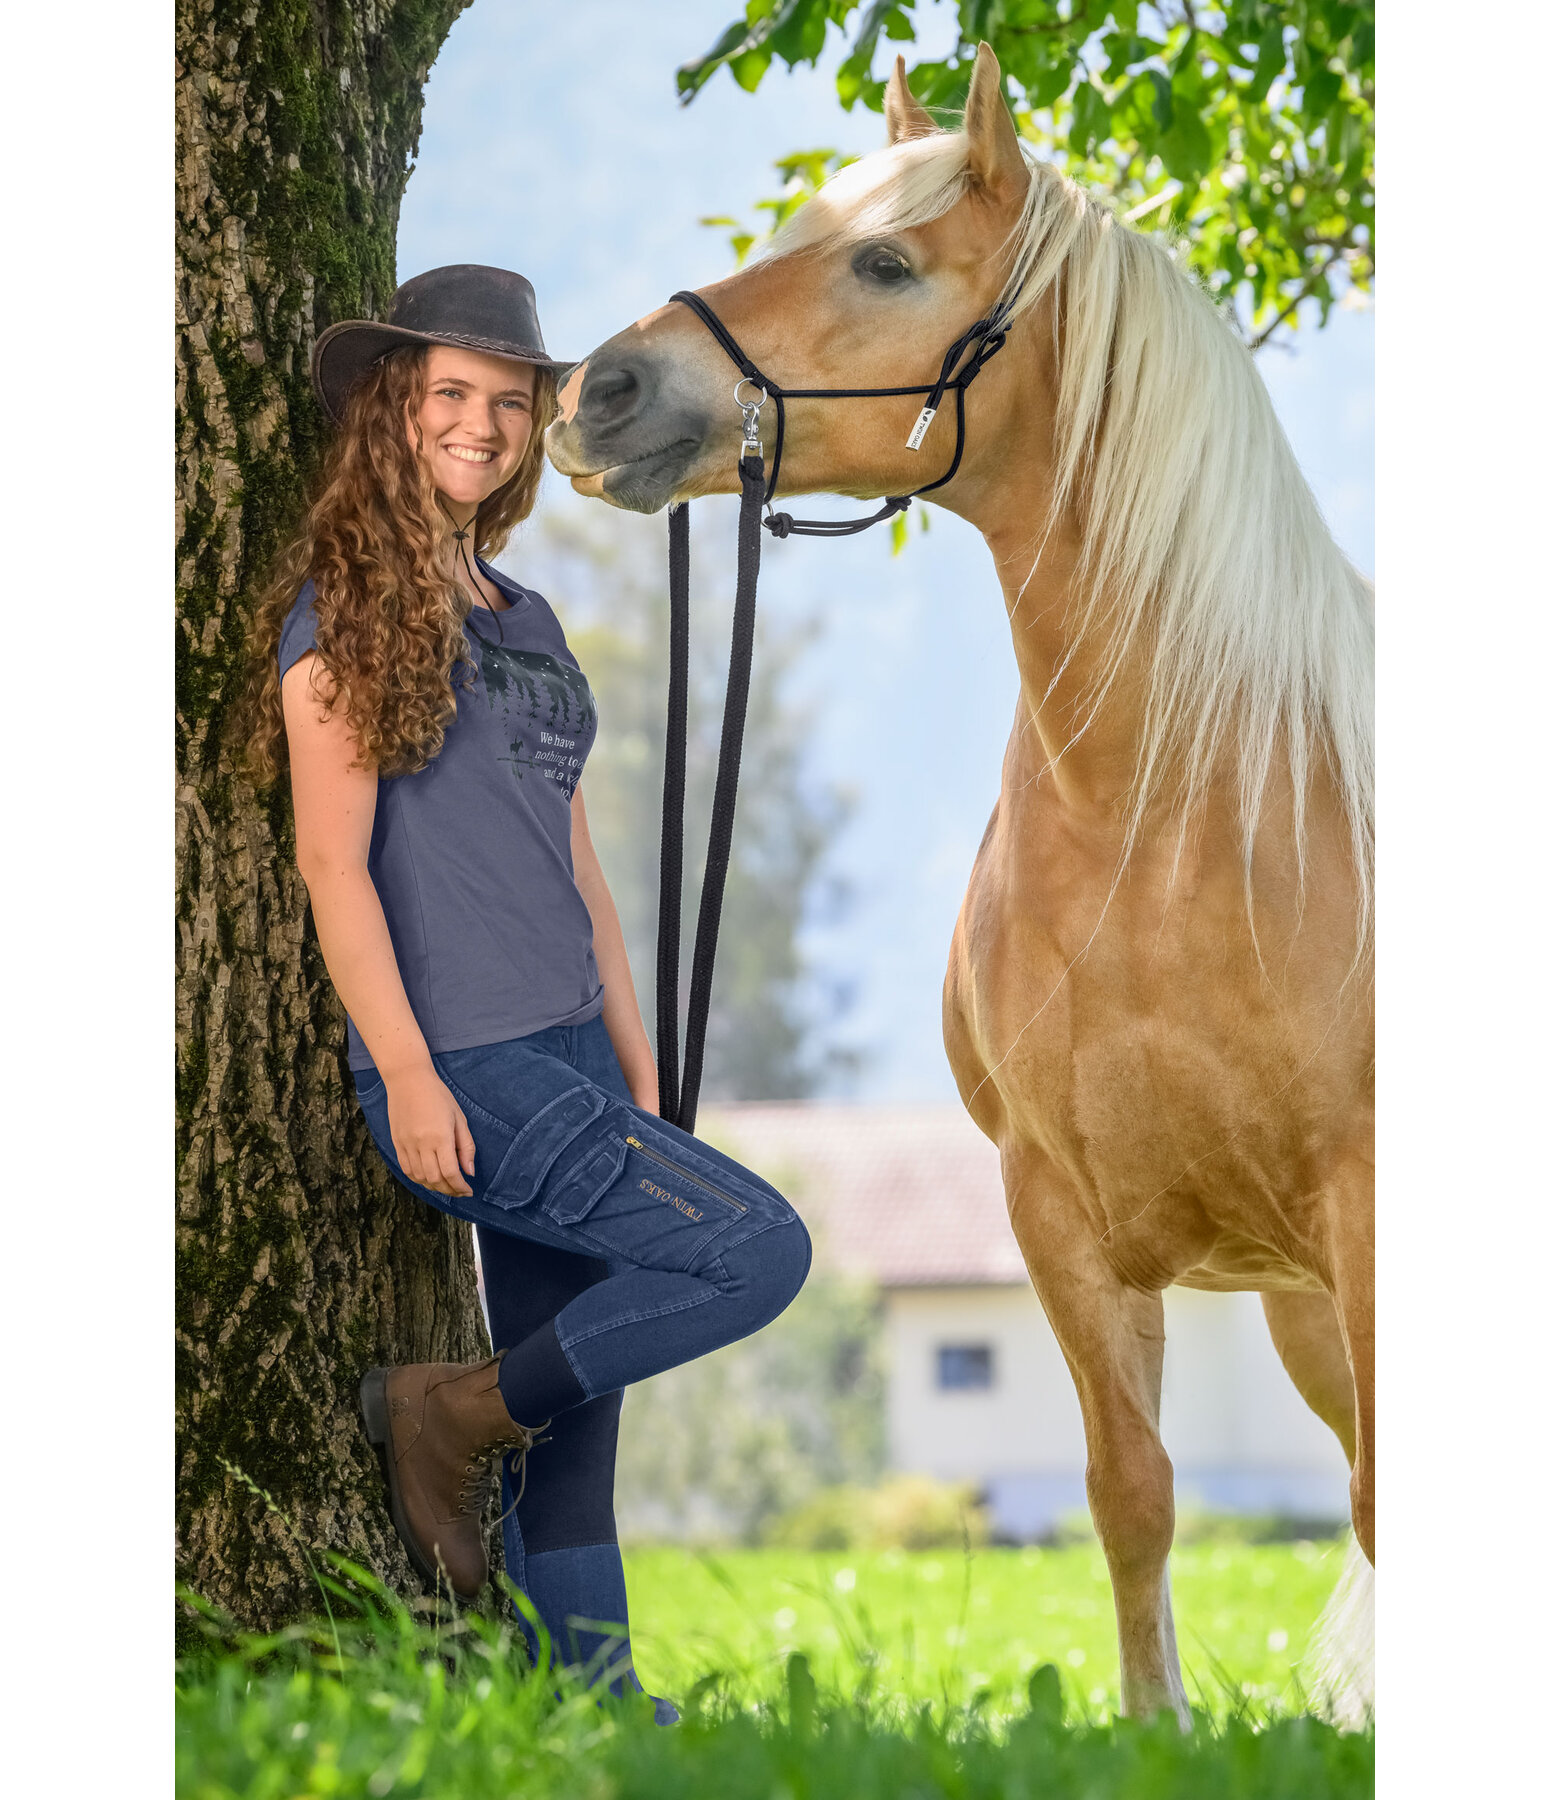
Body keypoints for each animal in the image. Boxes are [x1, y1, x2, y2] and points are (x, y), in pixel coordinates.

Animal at [550, 45, 1375, 1728]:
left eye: (882, 263)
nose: (602, 392)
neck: (1190, 808)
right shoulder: (1056, 1214)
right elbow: (1131, 1492)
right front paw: (1153, 1728)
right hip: (1296, 1303)